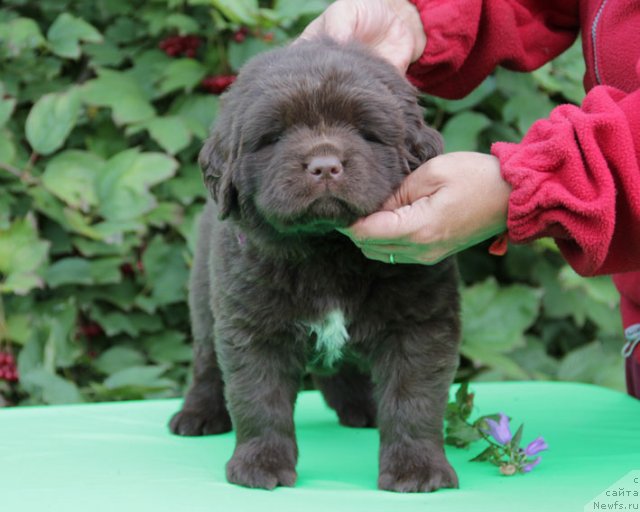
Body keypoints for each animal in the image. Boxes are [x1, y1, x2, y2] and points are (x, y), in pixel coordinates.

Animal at [170, 38, 460, 494]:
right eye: (274, 137)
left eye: (365, 131)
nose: (324, 165)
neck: (327, 249)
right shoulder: (253, 327)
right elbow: (259, 399)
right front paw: (261, 466)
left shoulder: (420, 323)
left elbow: (413, 400)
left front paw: (417, 470)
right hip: (204, 296)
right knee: (205, 361)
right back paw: (197, 415)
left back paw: (361, 407)